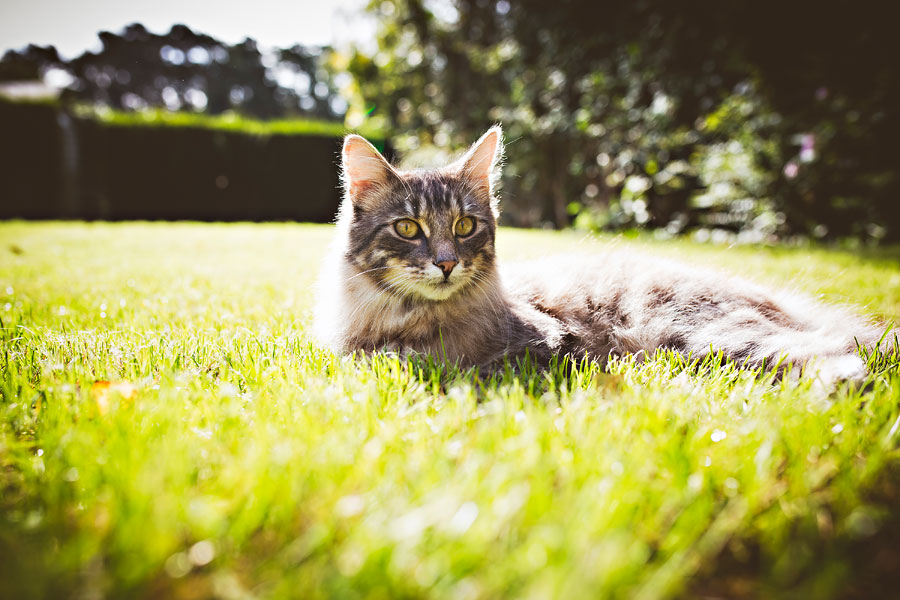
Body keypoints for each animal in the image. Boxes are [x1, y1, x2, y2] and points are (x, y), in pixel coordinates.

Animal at [314, 126, 884, 386]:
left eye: (465, 226)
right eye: (408, 228)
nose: (447, 262)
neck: (408, 318)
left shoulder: (537, 345)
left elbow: (434, 365)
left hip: (701, 334)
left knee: (845, 350)